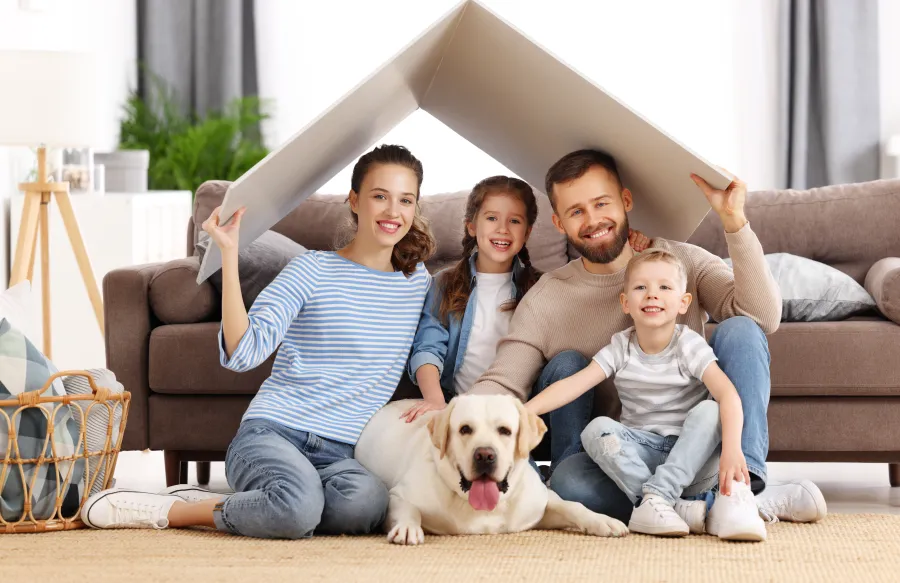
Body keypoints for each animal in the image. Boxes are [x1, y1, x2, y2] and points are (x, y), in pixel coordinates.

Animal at [352, 394, 624, 544]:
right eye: (464, 429)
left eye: (504, 430)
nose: (484, 455)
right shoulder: (397, 495)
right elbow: (408, 508)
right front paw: (408, 528)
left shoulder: (539, 505)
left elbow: (571, 505)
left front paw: (603, 521)